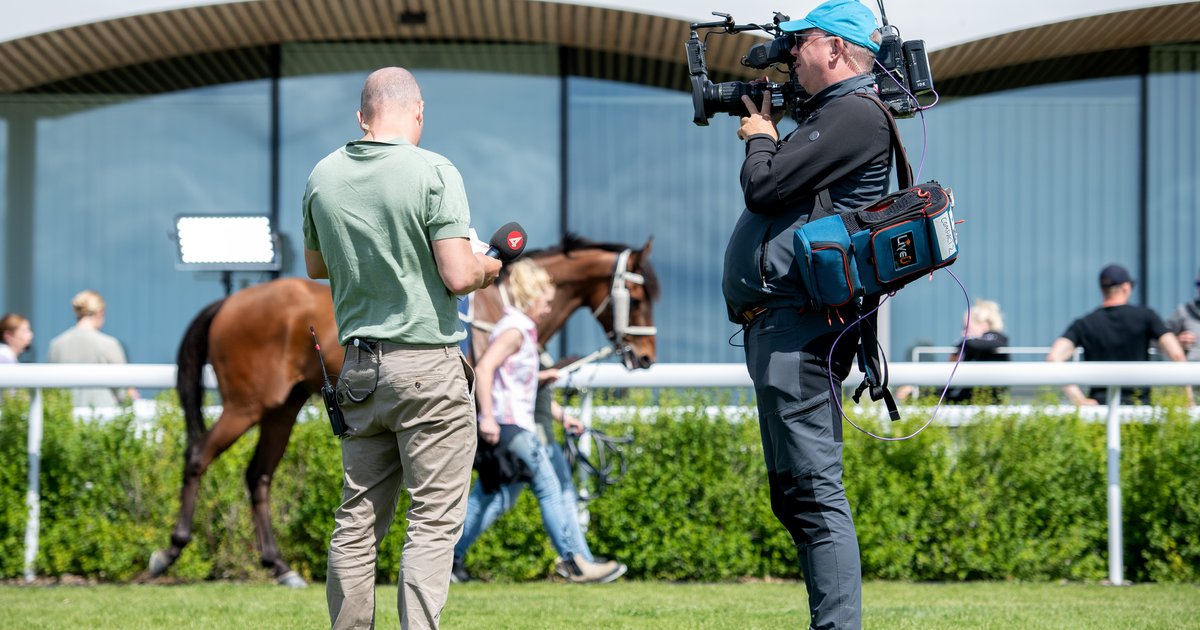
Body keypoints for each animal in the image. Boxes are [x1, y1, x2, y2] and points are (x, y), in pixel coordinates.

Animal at [147, 234, 667, 585]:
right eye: (639, 296)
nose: (644, 358)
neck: (502, 307)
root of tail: (228, 303)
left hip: (282, 408)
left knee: (258, 475)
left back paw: (279, 566)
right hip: (247, 404)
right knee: (199, 457)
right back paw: (168, 553)